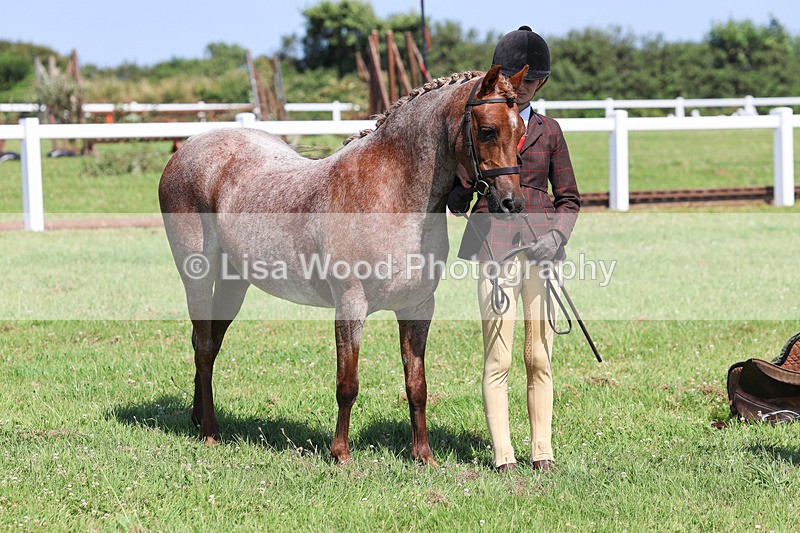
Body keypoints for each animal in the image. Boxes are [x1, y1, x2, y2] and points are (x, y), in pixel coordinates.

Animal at [158, 64, 528, 466]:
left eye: (521, 130)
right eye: (488, 130)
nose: (513, 203)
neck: (391, 192)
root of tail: (186, 150)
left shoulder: (417, 307)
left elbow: (417, 385)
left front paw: (423, 456)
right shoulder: (351, 305)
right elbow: (347, 384)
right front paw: (341, 454)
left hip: (234, 282)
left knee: (208, 343)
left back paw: (199, 417)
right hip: (196, 274)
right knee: (204, 346)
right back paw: (210, 431)